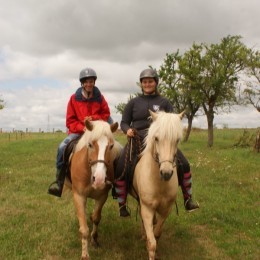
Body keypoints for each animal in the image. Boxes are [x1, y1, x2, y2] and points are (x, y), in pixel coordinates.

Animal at [69, 120, 122, 260]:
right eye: (90, 144)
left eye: (111, 146)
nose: (98, 179)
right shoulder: (79, 196)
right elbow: (84, 229)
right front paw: (85, 254)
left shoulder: (102, 196)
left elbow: (96, 218)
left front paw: (94, 240)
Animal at [130, 110, 185, 260]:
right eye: (156, 138)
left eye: (177, 140)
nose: (166, 173)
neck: (159, 184)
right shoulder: (147, 209)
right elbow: (152, 242)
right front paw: (148, 244)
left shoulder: (166, 209)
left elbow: (157, 233)